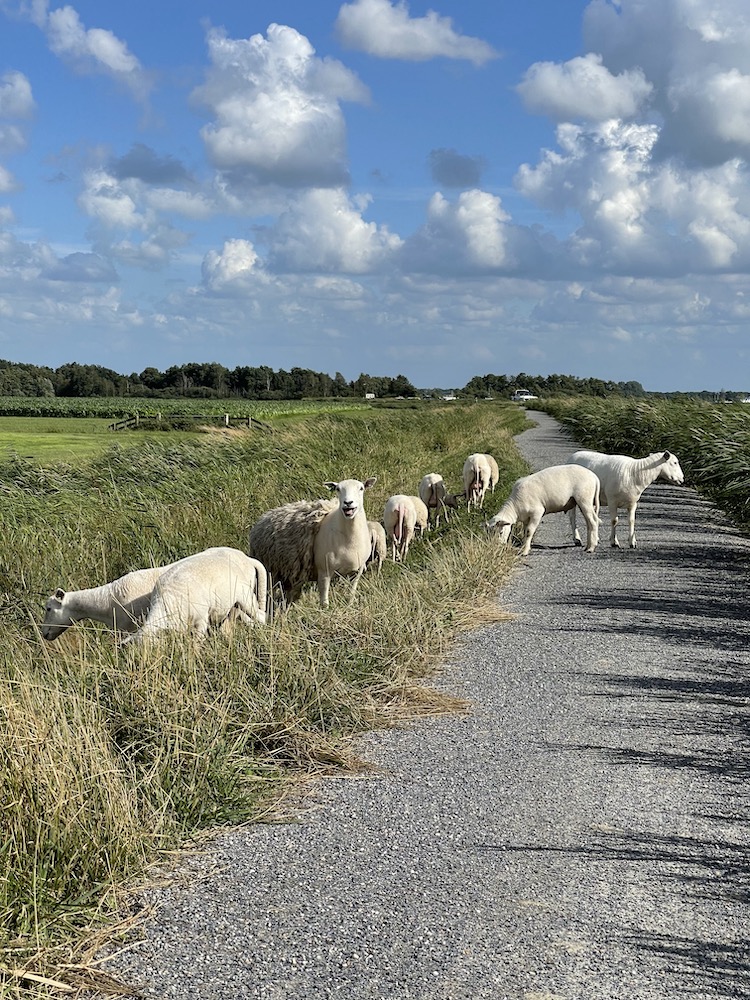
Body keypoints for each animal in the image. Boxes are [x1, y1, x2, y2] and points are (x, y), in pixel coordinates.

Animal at [120, 544, 268, 644]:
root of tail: (246, 558)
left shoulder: (201, 620)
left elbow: (196, 644)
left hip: (244, 596)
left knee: (261, 615)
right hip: (232, 605)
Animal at [248, 476, 378, 608]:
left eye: (361, 488)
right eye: (337, 489)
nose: (348, 503)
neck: (349, 540)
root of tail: (265, 516)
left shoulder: (357, 572)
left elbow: (351, 596)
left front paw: (349, 606)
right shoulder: (324, 572)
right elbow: (324, 603)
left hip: (288, 573)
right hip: (270, 571)